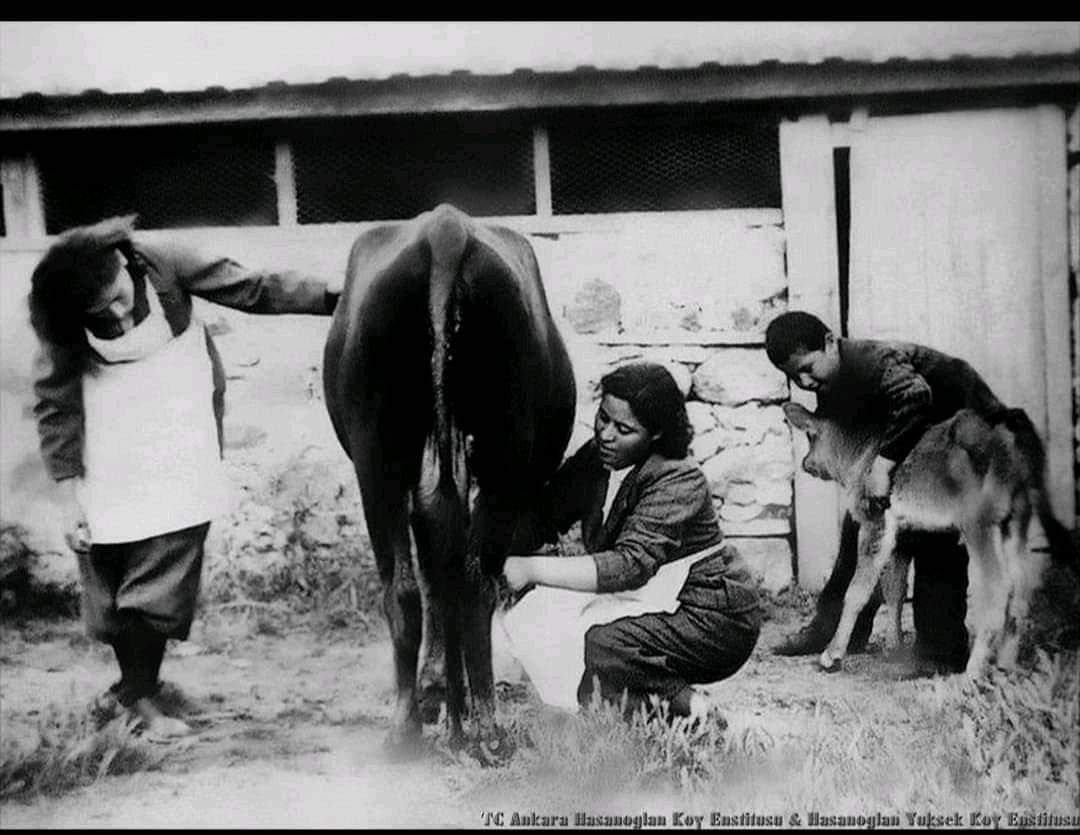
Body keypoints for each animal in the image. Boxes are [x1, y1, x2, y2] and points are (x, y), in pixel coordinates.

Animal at [321, 203, 578, 760]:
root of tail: (446, 230)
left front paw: (439, 693)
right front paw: (444, 694)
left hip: (378, 458)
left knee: (413, 584)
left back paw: (418, 726)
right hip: (494, 459)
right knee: (465, 580)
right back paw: (478, 728)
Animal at [781, 399, 1075, 682]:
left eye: (810, 435)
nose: (805, 463)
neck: (859, 455)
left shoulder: (874, 520)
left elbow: (857, 589)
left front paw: (831, 654)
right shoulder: (901, 533)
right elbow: (894, 590)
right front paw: (894, 650)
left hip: (980, 521)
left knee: (998, 585)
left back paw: (974, 670)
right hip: (1018, 517)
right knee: (1022, 584)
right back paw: (1007, 664)